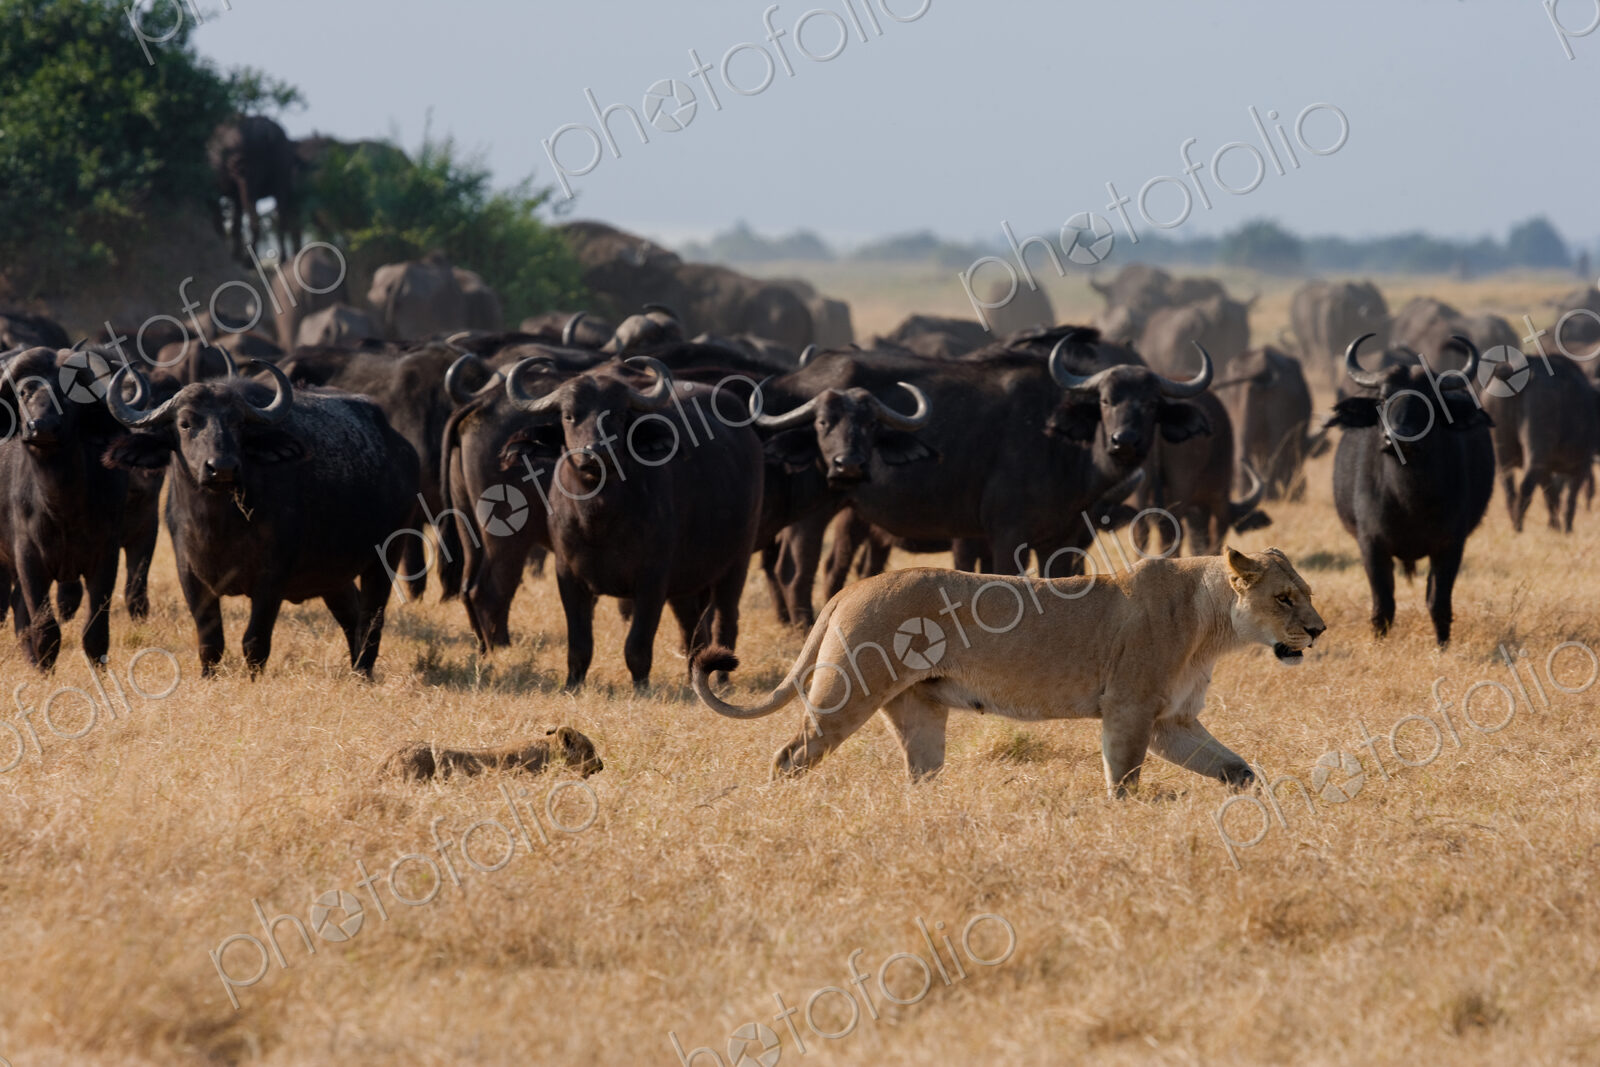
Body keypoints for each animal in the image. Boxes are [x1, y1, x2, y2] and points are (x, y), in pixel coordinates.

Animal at [693, 547, 1325, 796]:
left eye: (1308, 594)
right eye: (1285, 598)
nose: (1318, 630)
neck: (1213, 625)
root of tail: (853, 588)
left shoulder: (1173, 720)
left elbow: (1236, 767)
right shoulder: (1130, 707)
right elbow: (1123, 777)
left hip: (920, 712)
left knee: (919, 774)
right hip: (845, 695)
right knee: (790, 754)